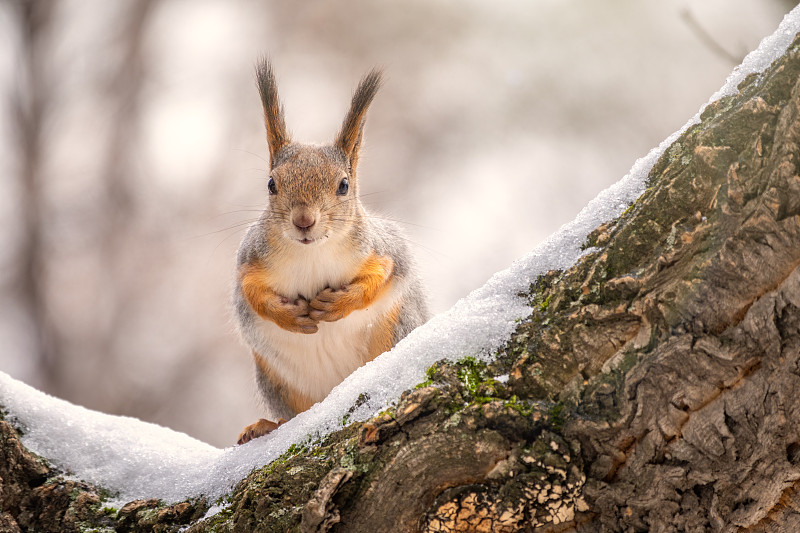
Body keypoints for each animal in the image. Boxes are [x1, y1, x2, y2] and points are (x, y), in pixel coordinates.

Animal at [233, 59, 428, 444]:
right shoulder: (250, 259)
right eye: (271, 184)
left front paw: (338, 304)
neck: (311, 254)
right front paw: (288, 316)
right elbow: (250, 292)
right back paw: (266, 425)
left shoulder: (382, 249)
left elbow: (381, 276)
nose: (304, 221)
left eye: (343, 186)